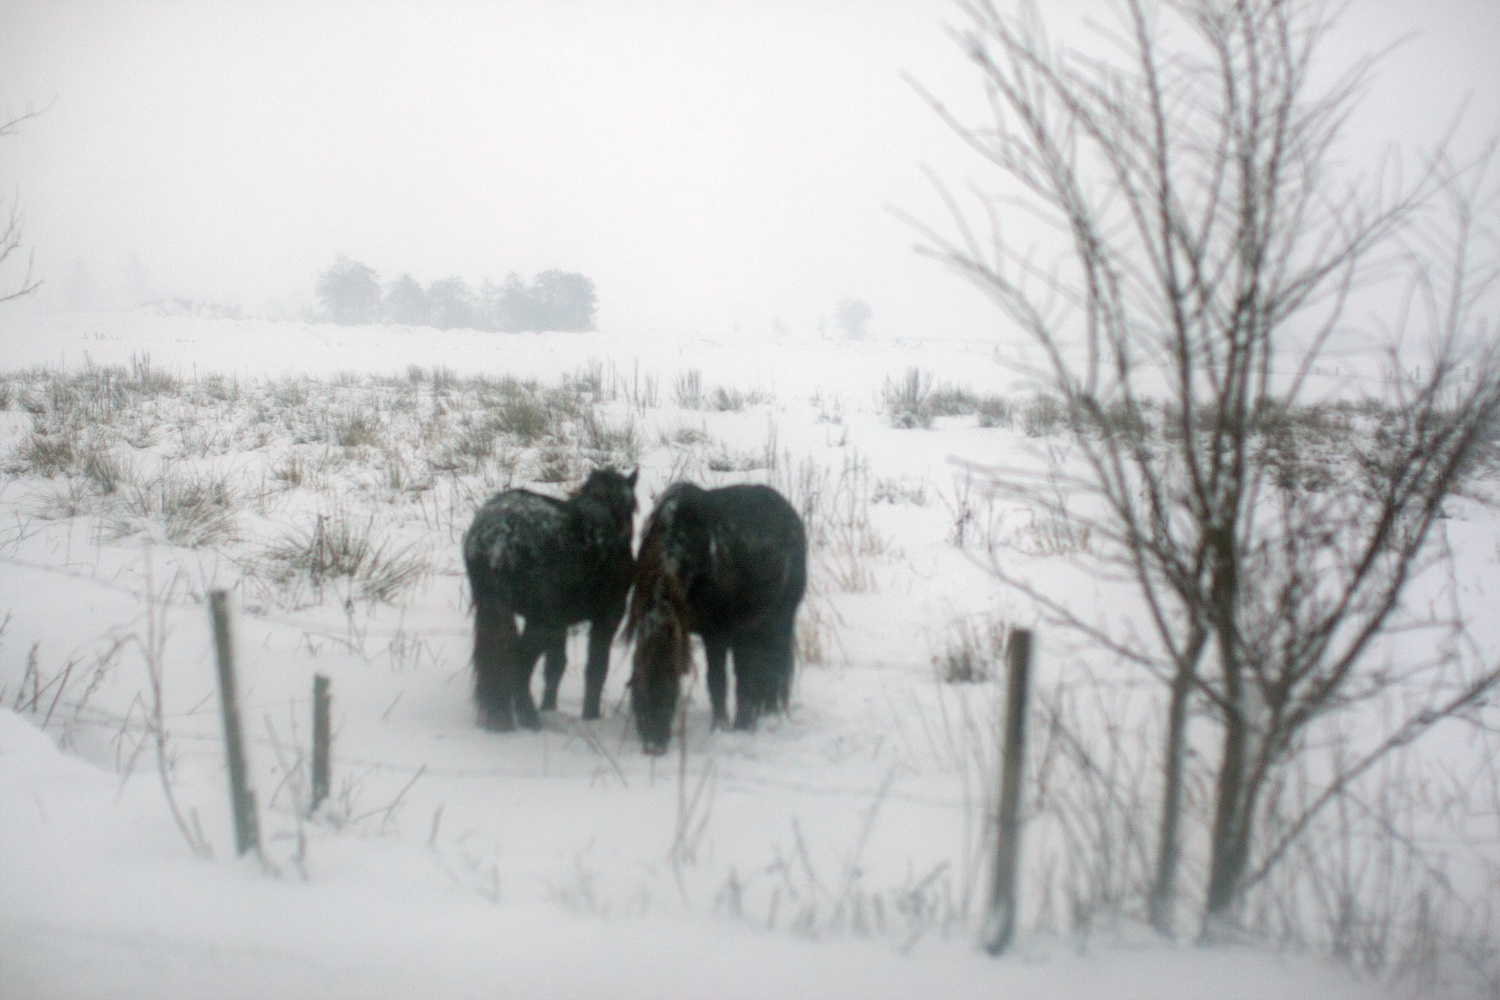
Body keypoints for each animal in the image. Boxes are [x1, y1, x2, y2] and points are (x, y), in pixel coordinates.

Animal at [463, 468, 637, 731]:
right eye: (633, 506)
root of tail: (500, 536)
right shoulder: (608, 616)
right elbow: (596, 668)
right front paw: (590, 716)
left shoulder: (560, 622)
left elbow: (555, 666)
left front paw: (550, 707)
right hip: (541, 621)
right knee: (518, 665)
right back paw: (528, 718)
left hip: (496, 609)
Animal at [625, 482, 807, 754]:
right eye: (638, 689)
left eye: (670, 687)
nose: (653, 746)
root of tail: (791, 514)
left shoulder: (717, 634)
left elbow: (717, 681)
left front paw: (719, 727)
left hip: (779, 620)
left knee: (771, 666)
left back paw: (760, 716)